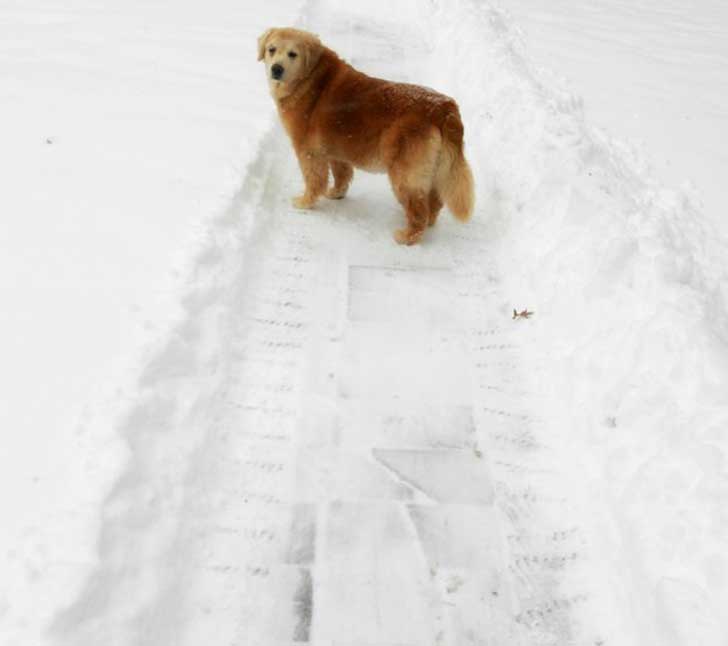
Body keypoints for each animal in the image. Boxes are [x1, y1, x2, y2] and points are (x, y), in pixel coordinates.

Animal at [258, 27, 474, 247]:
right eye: (271, 49)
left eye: (293, 54)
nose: (276, 69)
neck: (310, 78)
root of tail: (444, 108)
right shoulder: (335, 150)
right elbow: (341, 175)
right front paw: (337, 193)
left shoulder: (308, 152)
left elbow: (314, 180)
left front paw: (305, 202)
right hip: (434, 170)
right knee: (434, 202)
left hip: (404, 175)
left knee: (419, 210)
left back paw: (407, 236)